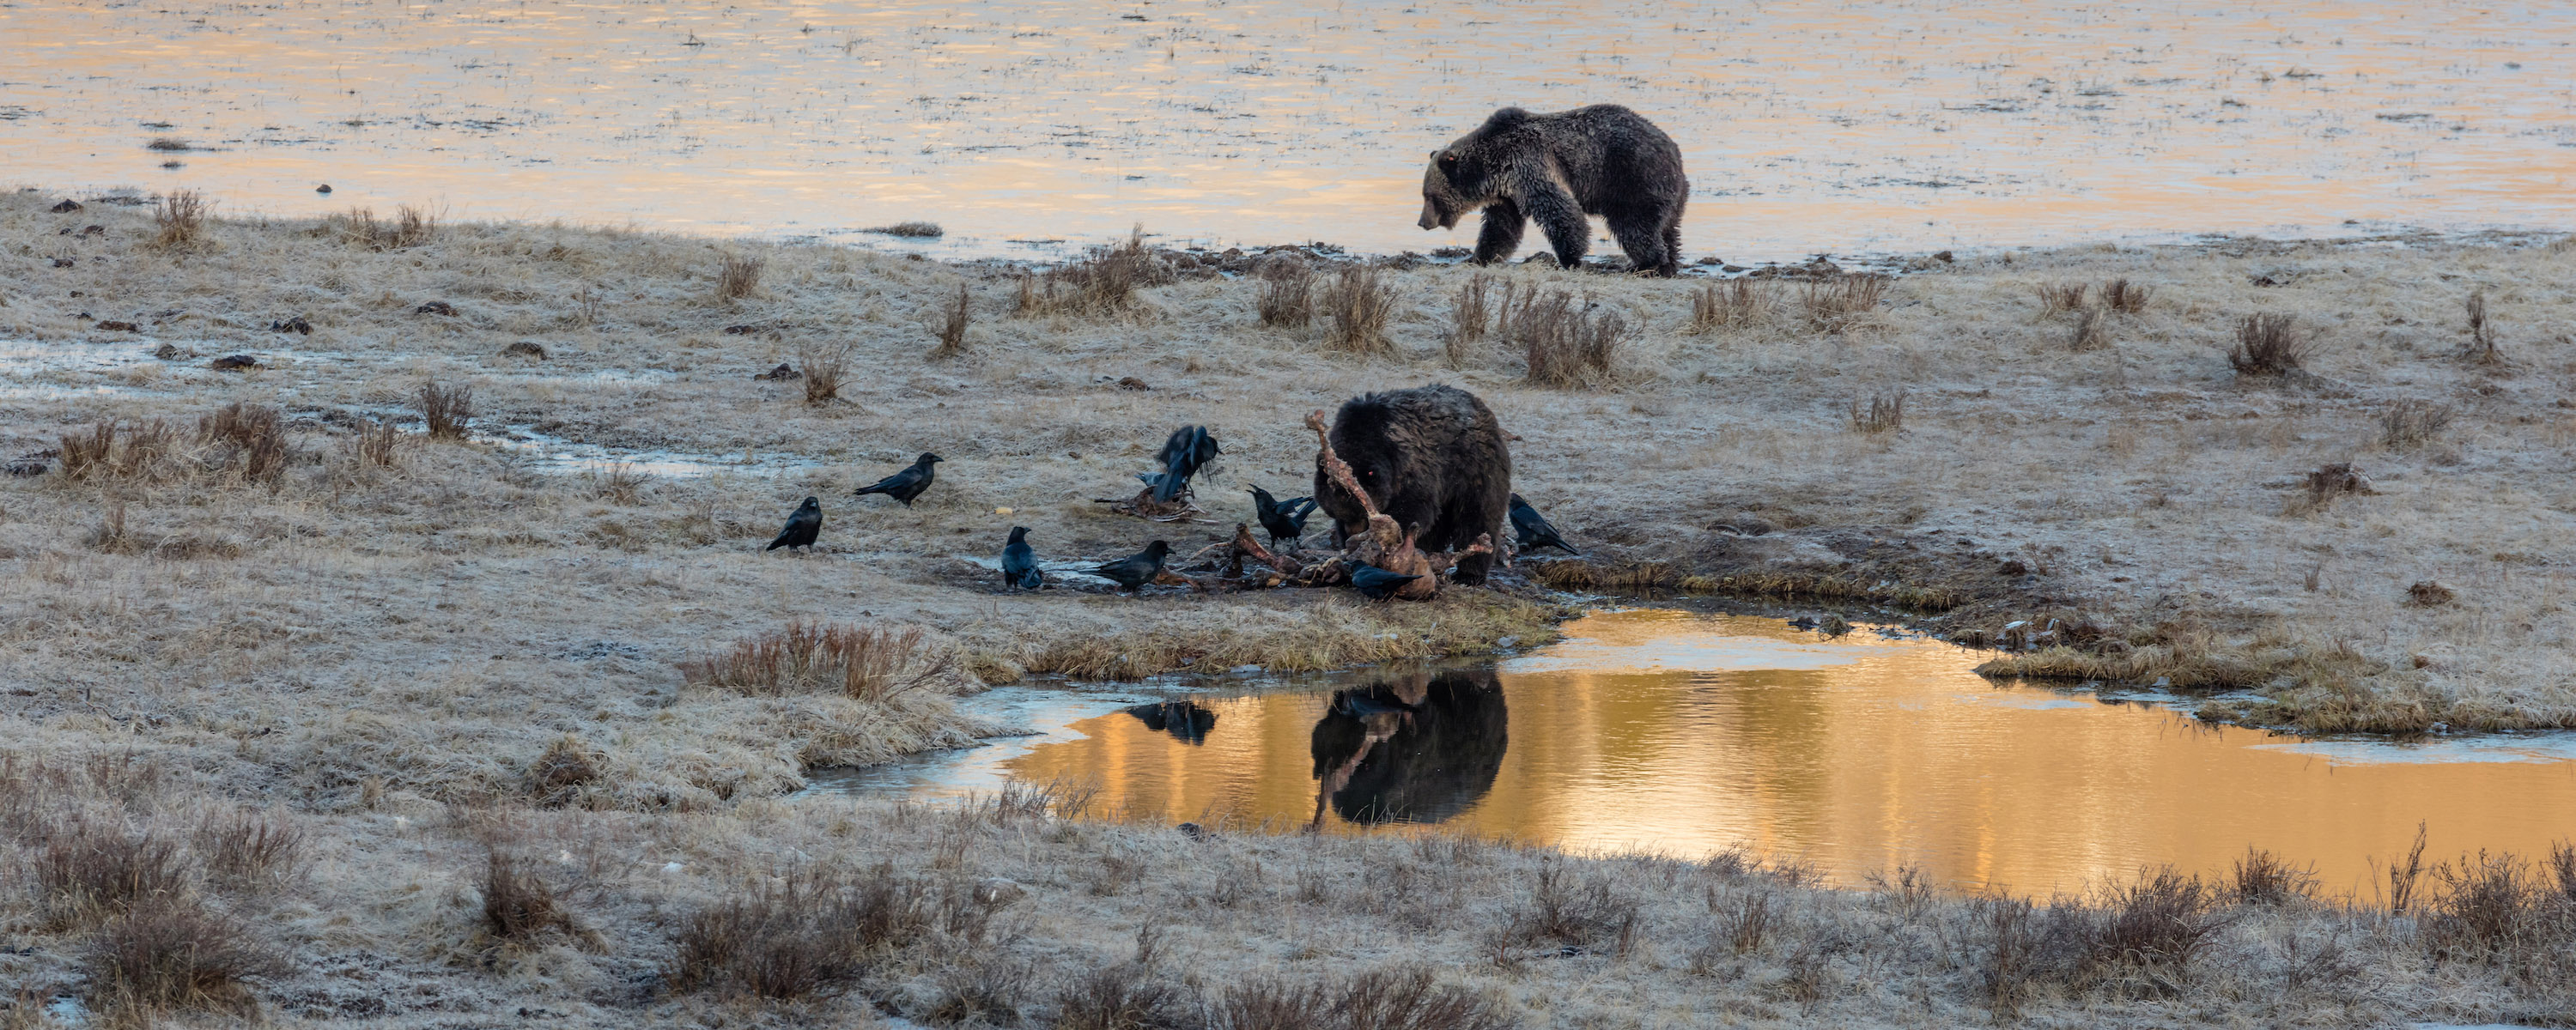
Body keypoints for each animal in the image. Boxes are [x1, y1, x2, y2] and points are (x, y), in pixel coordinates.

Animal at [1313, 383, 1510, 586]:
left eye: (1362, 514)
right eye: (1336, 513)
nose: (1353, 534)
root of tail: (1483, 408)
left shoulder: (1410, 466)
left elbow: (1411, 507)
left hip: (1475, 470)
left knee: (1478, 517)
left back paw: (1469, 574)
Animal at [1416, 104, 1688, 277]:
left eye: (1429, 196)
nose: (1421, 222)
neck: (1492, 167)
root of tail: (1674, 149)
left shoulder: (1529, 164)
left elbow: (1559, 209)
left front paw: (1570, 258)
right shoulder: (1507, 196)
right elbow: (1501, 227)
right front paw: (1479, 256)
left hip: (1633, 178)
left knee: (1635, 226)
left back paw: (1644, 265)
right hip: (1670, 194)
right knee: (1667, 229)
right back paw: (1669, 264)